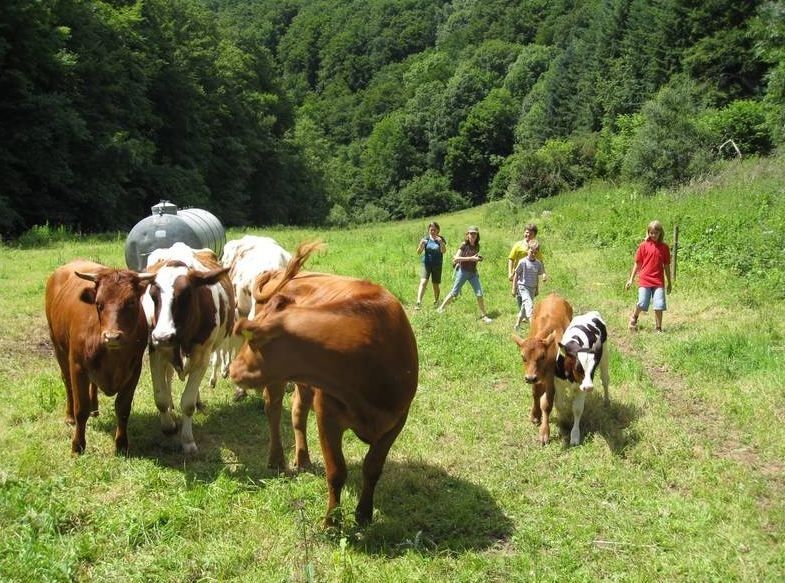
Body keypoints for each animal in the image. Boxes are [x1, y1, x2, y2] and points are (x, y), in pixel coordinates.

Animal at [45, 260, 154, 456]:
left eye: (131, 302)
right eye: (98, 303)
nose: (112, 336)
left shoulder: (135, 369)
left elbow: (123, 407)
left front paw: (121, 444)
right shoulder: (77, 366)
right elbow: (81, 408)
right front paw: (78, 446)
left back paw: (94, 409)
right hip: (58, 347)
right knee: (67, 384)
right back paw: (69, 416)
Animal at [142, 242, 233, 456]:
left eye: (186, 295)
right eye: (153, 296)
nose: (163, 336)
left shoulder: (202, 356)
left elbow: (188, 403)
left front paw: (188, 440)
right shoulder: (156, 351)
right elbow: (160, 397)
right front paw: (168, 425)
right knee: (168, 378)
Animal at [512, 294, 572, 444]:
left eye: (542, 356)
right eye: (523, 357)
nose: (530, 378)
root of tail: (554, 295)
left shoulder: (551, 379)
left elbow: (547, 403)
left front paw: (544, 432)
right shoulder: (535, 378)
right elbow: (535, 394)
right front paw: (535, 415)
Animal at [556, 314, 608, 448]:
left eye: (593, 369)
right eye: (578, 368)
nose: (589, 387)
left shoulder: (582, 387)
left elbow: (578, 409)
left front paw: (574, 435)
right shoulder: (558, 383)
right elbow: (559, 405)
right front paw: (563, 421)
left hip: (605, 356)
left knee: (605, 380)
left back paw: (607, 401)